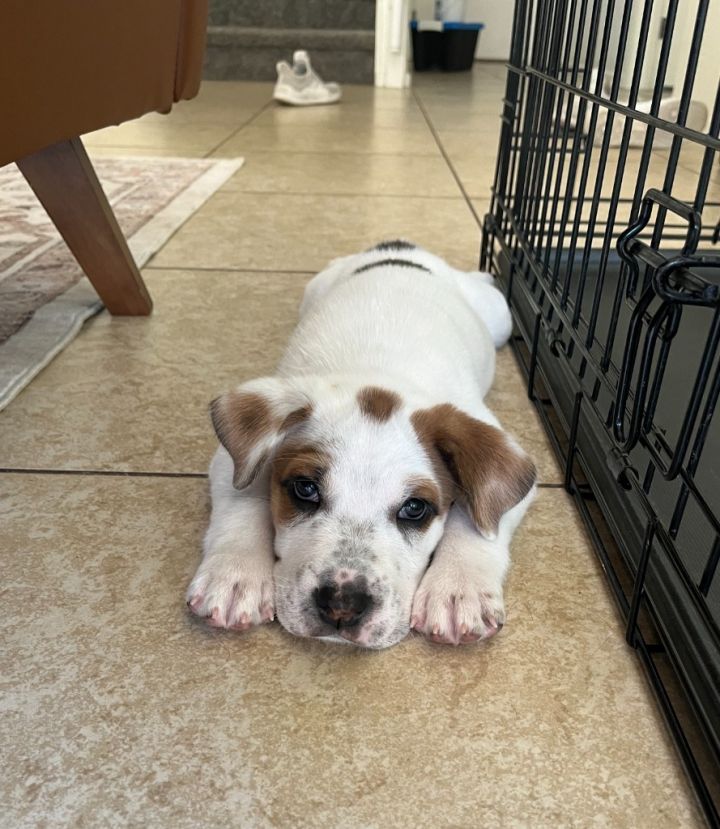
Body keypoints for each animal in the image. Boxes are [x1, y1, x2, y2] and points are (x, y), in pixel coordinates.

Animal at [186, 239, 536, 648]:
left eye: (415, 508)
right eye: (305, 489)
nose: (342, 606)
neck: (378, 372)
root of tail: (399, 245)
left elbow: (478, 518)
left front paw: (458, 589)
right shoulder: (232, 461)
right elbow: (243, 495)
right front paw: (234, 574)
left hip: (500, 317)